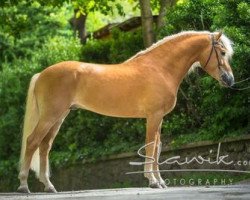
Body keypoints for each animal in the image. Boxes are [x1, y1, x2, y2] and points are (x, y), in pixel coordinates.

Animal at [17, 30, 234, 193]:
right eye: (222, 52)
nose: (230, 80)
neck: (160, 69)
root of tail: (42, 73)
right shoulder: (153, 117)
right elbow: (151, 147)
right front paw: (153, 181)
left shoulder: (159, 118)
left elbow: (158, 147)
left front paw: (160, 181)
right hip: (50, 115)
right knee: (32, 142)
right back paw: (23, 186)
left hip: (59, 117)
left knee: (45, 146)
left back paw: (49, 186)